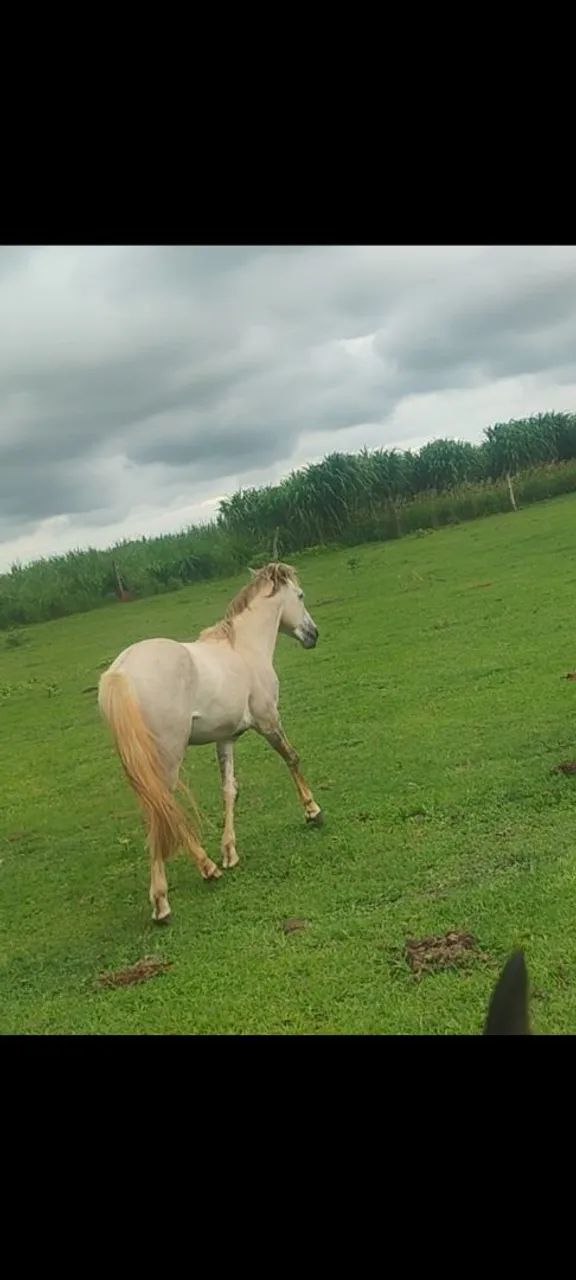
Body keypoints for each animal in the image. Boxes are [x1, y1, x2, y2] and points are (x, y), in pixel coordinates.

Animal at [98, 562, 322, 923]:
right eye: (300, 595)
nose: (313, 634)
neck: (243, 650)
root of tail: (121, 672)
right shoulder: (268, 721)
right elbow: (292, 757)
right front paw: (313, 811)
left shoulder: (225, 738)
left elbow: (229, 790)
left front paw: (230, 851)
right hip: (167, 757)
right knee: (162, 809)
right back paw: (190, 880)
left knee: (153, 812)